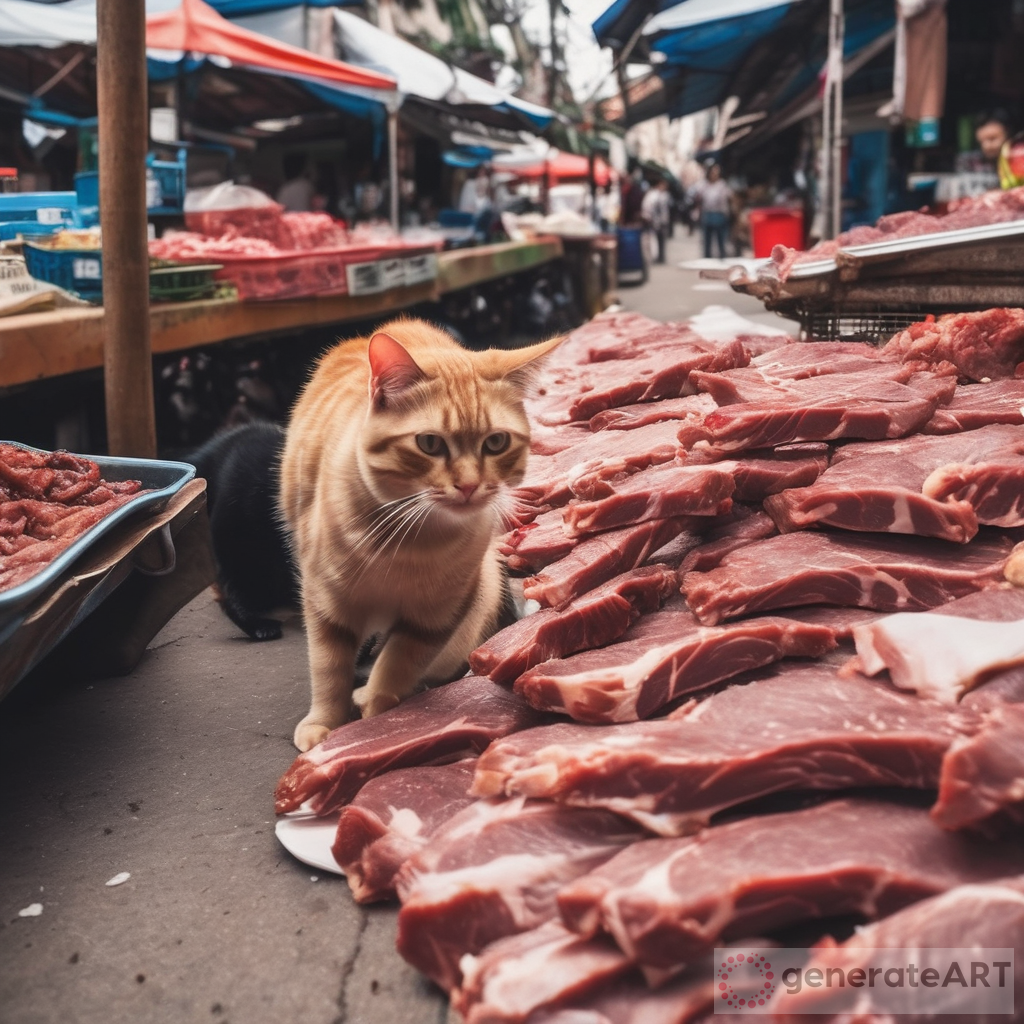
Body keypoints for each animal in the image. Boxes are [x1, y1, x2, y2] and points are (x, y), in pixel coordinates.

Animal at [278, 315, 561, 749]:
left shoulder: (438, 614)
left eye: (496, 442)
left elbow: (397, 663)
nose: (468, 485)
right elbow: (328, 669)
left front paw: (377, 710)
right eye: (429, 443)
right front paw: (325, 724)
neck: (411, 541)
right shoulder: (326, 602)